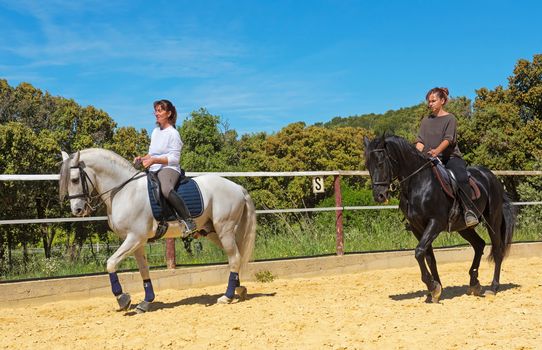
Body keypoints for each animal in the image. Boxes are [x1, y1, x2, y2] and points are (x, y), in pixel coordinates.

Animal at [59, 148, 258, 312]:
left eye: (75, 179)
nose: (77, 210)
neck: (124, 191)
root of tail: (237, 187)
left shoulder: (134, 238)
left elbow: (111, 263)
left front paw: (123, 299)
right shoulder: (137, 242)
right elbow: (143, 270)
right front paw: (146, 302)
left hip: (225, 229)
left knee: (235, 257)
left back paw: (227, 296)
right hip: (213, 232)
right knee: (235, 256)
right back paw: (239, 289)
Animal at [364, 135, 516, 302]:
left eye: (380, 163)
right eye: (368, 165)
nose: (379, 196)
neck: (419, 183)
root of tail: (492, 177)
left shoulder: (435, 223)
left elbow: (419, 252)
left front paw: (432, 286)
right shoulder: (417, 228)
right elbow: (428, 256)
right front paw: (435, 290)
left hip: (493, 221)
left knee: (497, 250)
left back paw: (493, 287)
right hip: (463, 227)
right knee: (479, 245)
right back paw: (474, 283)